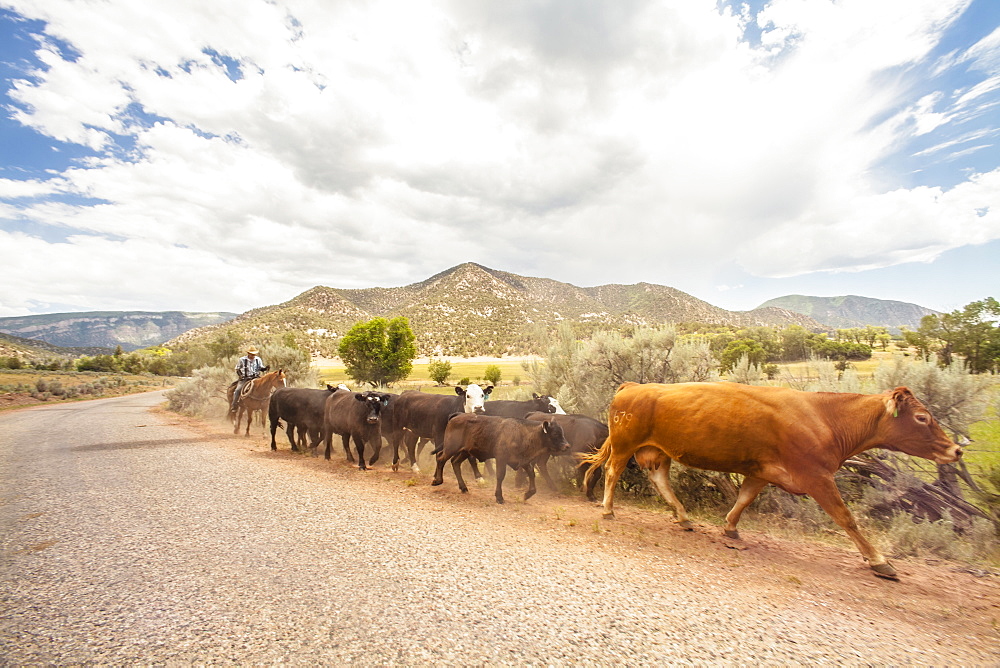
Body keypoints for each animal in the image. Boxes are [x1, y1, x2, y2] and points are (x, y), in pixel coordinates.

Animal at [432, 414, 572, 504]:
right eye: (555, 434)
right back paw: (437, 480)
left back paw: (463, 488)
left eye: (562, 432)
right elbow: (500, 476)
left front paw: (527, 494)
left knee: (455, 463)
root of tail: (455, 417)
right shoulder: (501, 459)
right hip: (451, 448)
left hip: (465, 451)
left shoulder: (523, 461)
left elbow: (531, 474)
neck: (523, 433)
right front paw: (499, 497)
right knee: (441, 458)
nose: (567, 446)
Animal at [584, 380, 964, 580]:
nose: (956, 450)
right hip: (625, 444)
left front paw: (730, 528)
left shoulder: (761, 473)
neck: (826, 417)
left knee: (660, 481)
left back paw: (683, 517)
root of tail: (634, 386)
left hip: (658, 452)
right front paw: (880, 560)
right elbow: (847, 518)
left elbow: (744, 499)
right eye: (922, 417)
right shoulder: (818, 477)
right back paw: (607, 509)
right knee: (612, 471)